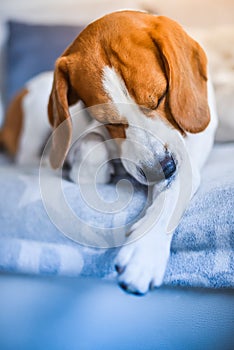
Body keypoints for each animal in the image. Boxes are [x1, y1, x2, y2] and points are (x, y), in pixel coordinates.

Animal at [0, 10, 218, 294]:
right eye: (109, 120)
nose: (160, 169)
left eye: (160, 98)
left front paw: (145, 249)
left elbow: (174, 190)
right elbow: (90, 147)